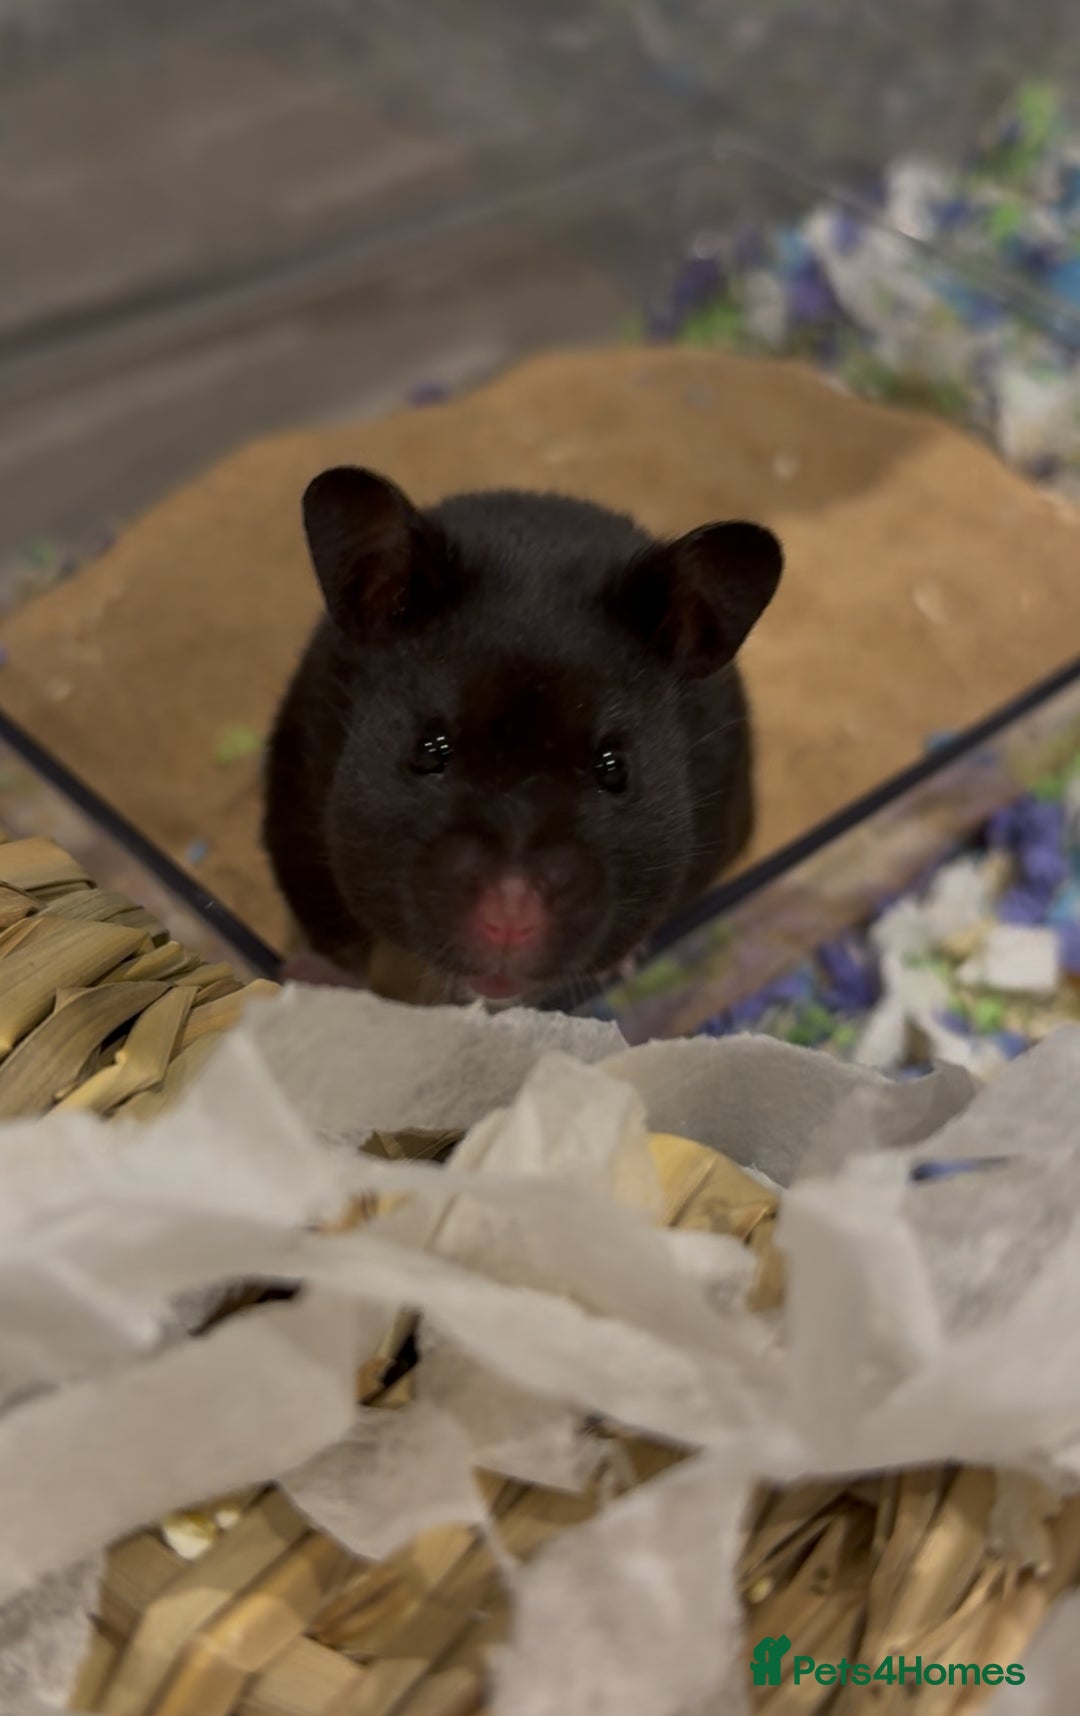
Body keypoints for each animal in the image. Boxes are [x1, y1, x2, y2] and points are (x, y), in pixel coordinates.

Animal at [263, 466, 782, 1006]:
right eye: (428, 750)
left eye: (614, 769)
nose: (509, 914)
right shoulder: (298, 810)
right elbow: (332, 931)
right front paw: (308, 981)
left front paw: (620, 964)